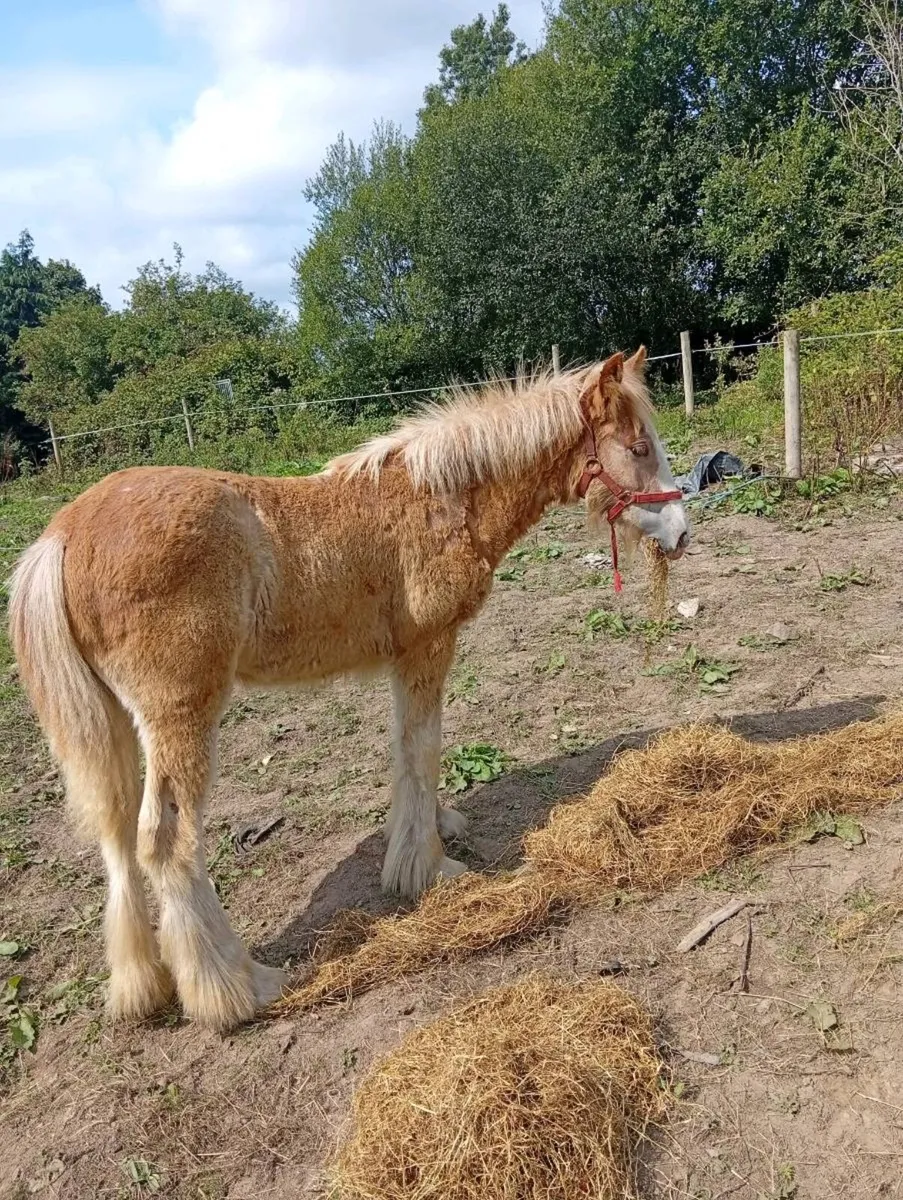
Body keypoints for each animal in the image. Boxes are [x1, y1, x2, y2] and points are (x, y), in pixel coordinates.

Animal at [9, 347, 690, 1030]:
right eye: (637, 446)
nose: (682, 533)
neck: (443, 500)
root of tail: (61, 533)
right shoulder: (428, 647)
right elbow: (423, 748)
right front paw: (427, 868)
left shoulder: (403, 660)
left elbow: (404, 749)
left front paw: (431, 830)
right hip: (182, 712)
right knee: (166, 841)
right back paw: (237, 987)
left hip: (113, 720)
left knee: (117, 828)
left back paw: (142, 984)